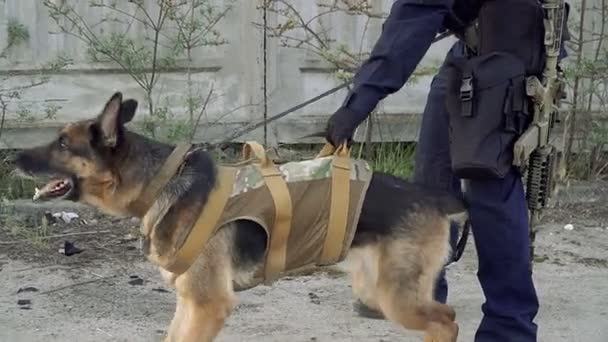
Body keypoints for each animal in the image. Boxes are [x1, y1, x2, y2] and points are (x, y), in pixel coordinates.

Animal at [14, 91, 470, 342]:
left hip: (397, 298)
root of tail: (434, 198)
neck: (160, 181)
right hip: (377, 290)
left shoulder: (207, 305)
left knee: (447, 321)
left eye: (61, 143)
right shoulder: (189, 302)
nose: (12, 157)